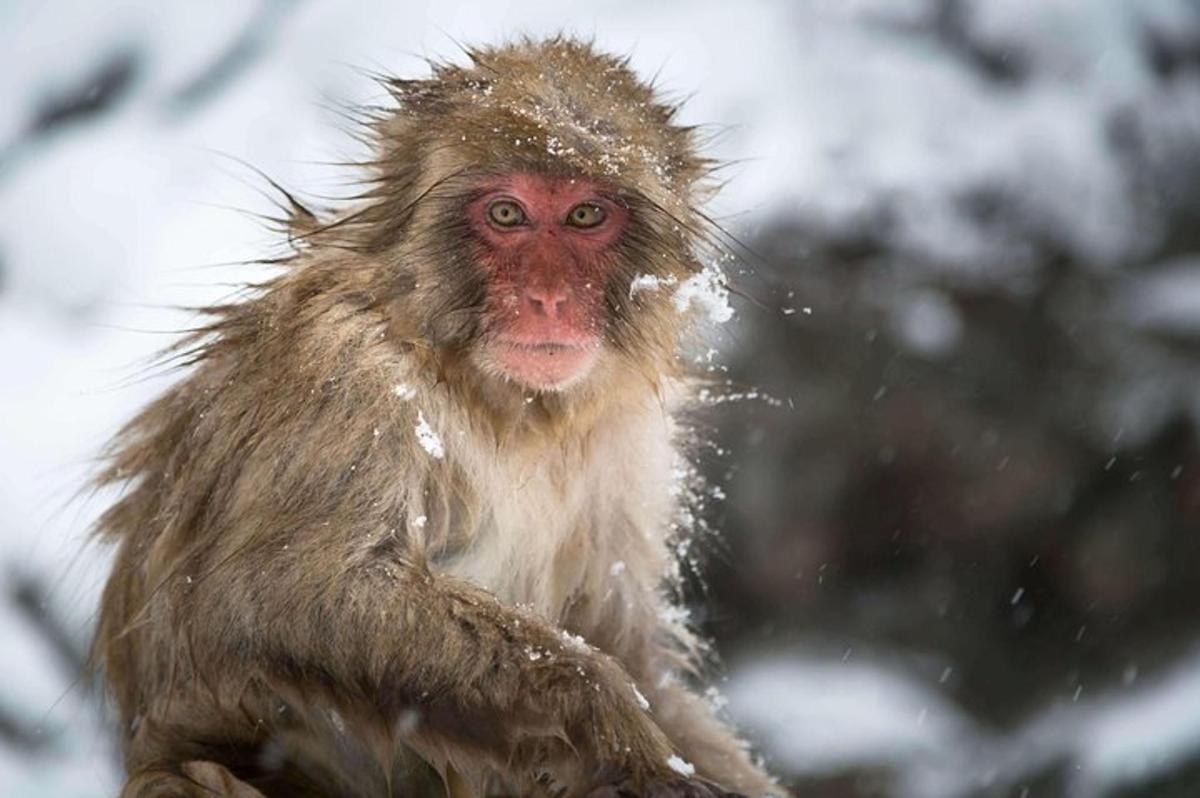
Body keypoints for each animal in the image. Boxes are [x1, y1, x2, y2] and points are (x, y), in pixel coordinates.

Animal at [98, 37, 782, 796]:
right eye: (507, 214)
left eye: (585, 216)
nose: (547, 299)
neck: (508, 404)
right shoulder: (345, 376)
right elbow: (284, 594)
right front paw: (612, 726)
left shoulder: (627, 437)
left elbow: (624, 642)